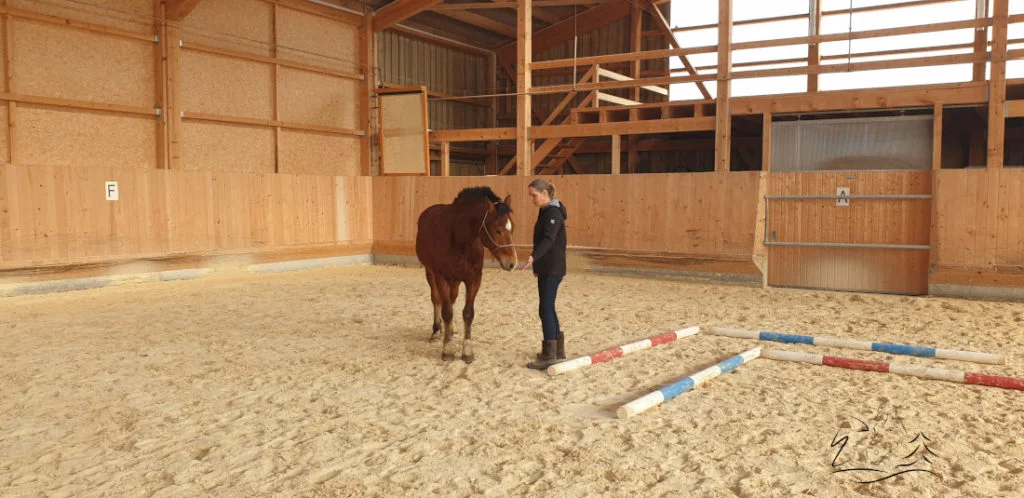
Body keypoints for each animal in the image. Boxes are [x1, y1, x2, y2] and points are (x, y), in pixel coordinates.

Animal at [415, 186, 518, 363]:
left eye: (512, 228)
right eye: (498, 230)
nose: (512, 263)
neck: (458, 239)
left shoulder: (474, 279)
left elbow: (468, 313)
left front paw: (467, 351)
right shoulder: (441, 277)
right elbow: (446, 311)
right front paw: (448, 349)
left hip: (455, 281)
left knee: (452, 299)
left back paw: (452, 329)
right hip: (431, 273)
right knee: (437, 300)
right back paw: (437, 330)